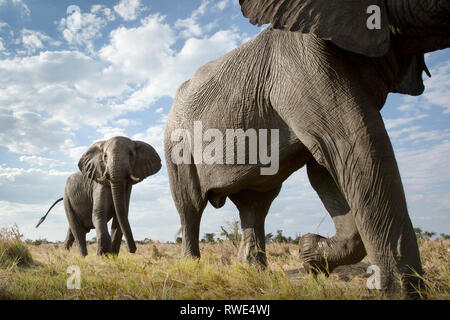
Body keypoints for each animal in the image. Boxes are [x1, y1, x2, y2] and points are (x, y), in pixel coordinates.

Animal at [164, 0, 450, 298]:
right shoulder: (302, 64)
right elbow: (356, 146)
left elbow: (327, 168)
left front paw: (310, 255)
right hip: (176, 143)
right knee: (190, 205)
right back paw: (192, 268)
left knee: (255, 205)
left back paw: (254, 272)